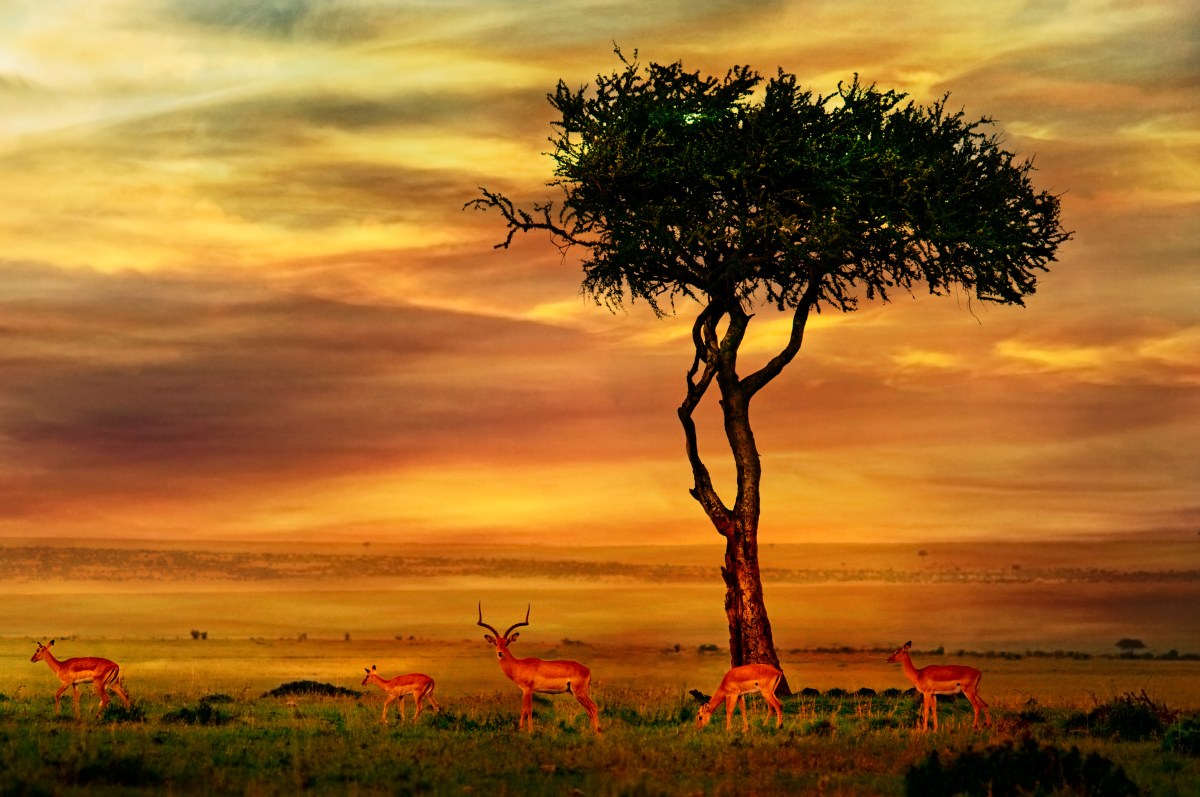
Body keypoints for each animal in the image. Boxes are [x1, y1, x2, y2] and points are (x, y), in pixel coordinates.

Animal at [477, 603, 600, 733]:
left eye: (506, 643)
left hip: (580, 693)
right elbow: (524, 709)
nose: (500, 653)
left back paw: (598, 733)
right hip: (574, 693)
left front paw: (528, 731)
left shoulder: (528, 690)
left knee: (594, 707)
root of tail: (587, 669)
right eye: (496, 643)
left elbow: (527, 710)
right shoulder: (525, 691)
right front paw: (522, 729)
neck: (518, 665)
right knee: (589, 710)